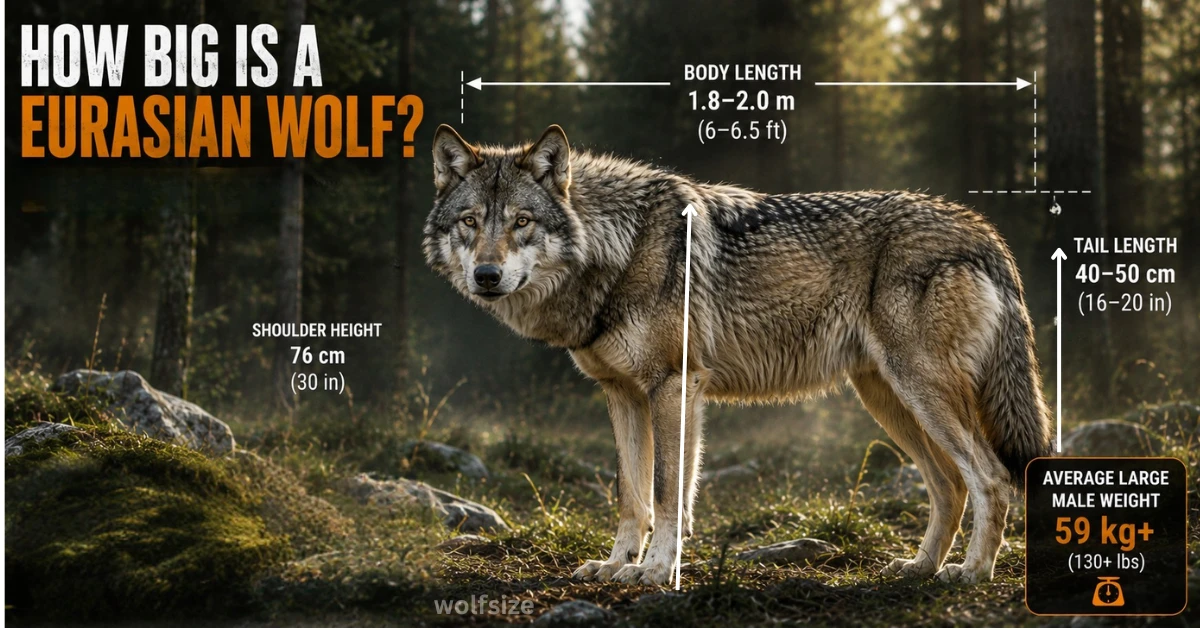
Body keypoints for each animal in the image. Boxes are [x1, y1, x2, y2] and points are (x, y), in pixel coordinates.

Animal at [423, 123, 1051, 586]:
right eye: (471, 221)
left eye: (522, 222)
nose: (486, 275)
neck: (617, 250)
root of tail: (982, 228)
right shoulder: (622, 396)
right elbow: (632, 497)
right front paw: (616, 566)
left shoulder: (675, 386)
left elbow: (666, 493)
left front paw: (655, 572)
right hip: (888, 400)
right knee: (949, 486)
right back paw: (918, 568)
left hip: (919, 393)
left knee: (991, 479)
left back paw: (969, 573)